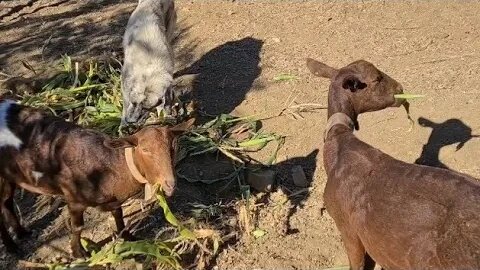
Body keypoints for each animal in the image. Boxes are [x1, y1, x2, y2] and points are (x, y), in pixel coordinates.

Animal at [0, 99, 191, 258]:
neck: (109, 166)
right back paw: (12, 248)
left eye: (173, 146)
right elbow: (77, 227)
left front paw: (127, 236)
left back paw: (21, 233)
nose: (170, 184)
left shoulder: (114, 199)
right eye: (145, 149)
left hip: (9, 176)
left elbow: (118, 214)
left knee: (6, 202)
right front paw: (79, 253)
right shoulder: (74, 198)